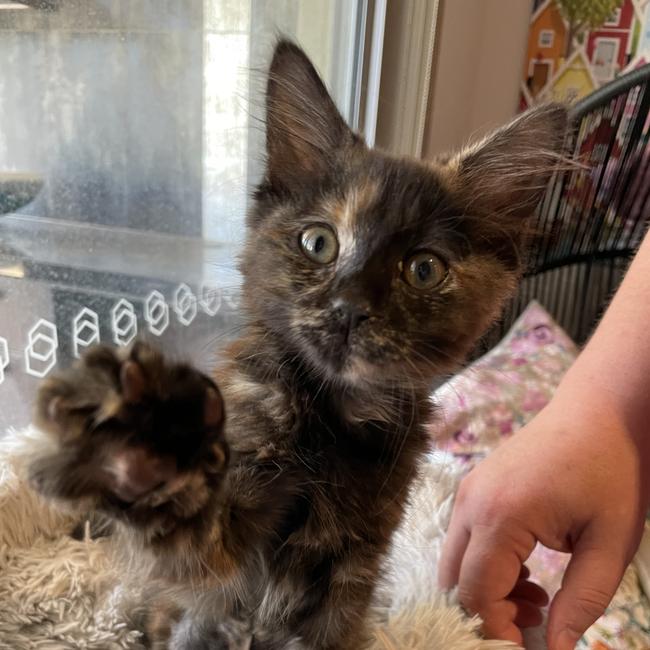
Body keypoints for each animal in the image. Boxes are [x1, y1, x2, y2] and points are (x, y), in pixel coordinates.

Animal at [27, 41, 564, 648]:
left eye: (424, 270)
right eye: (319, 242)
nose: (349, 307)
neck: (332, 418)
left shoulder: (357, 563)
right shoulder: (223, 552)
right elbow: (190, 525)